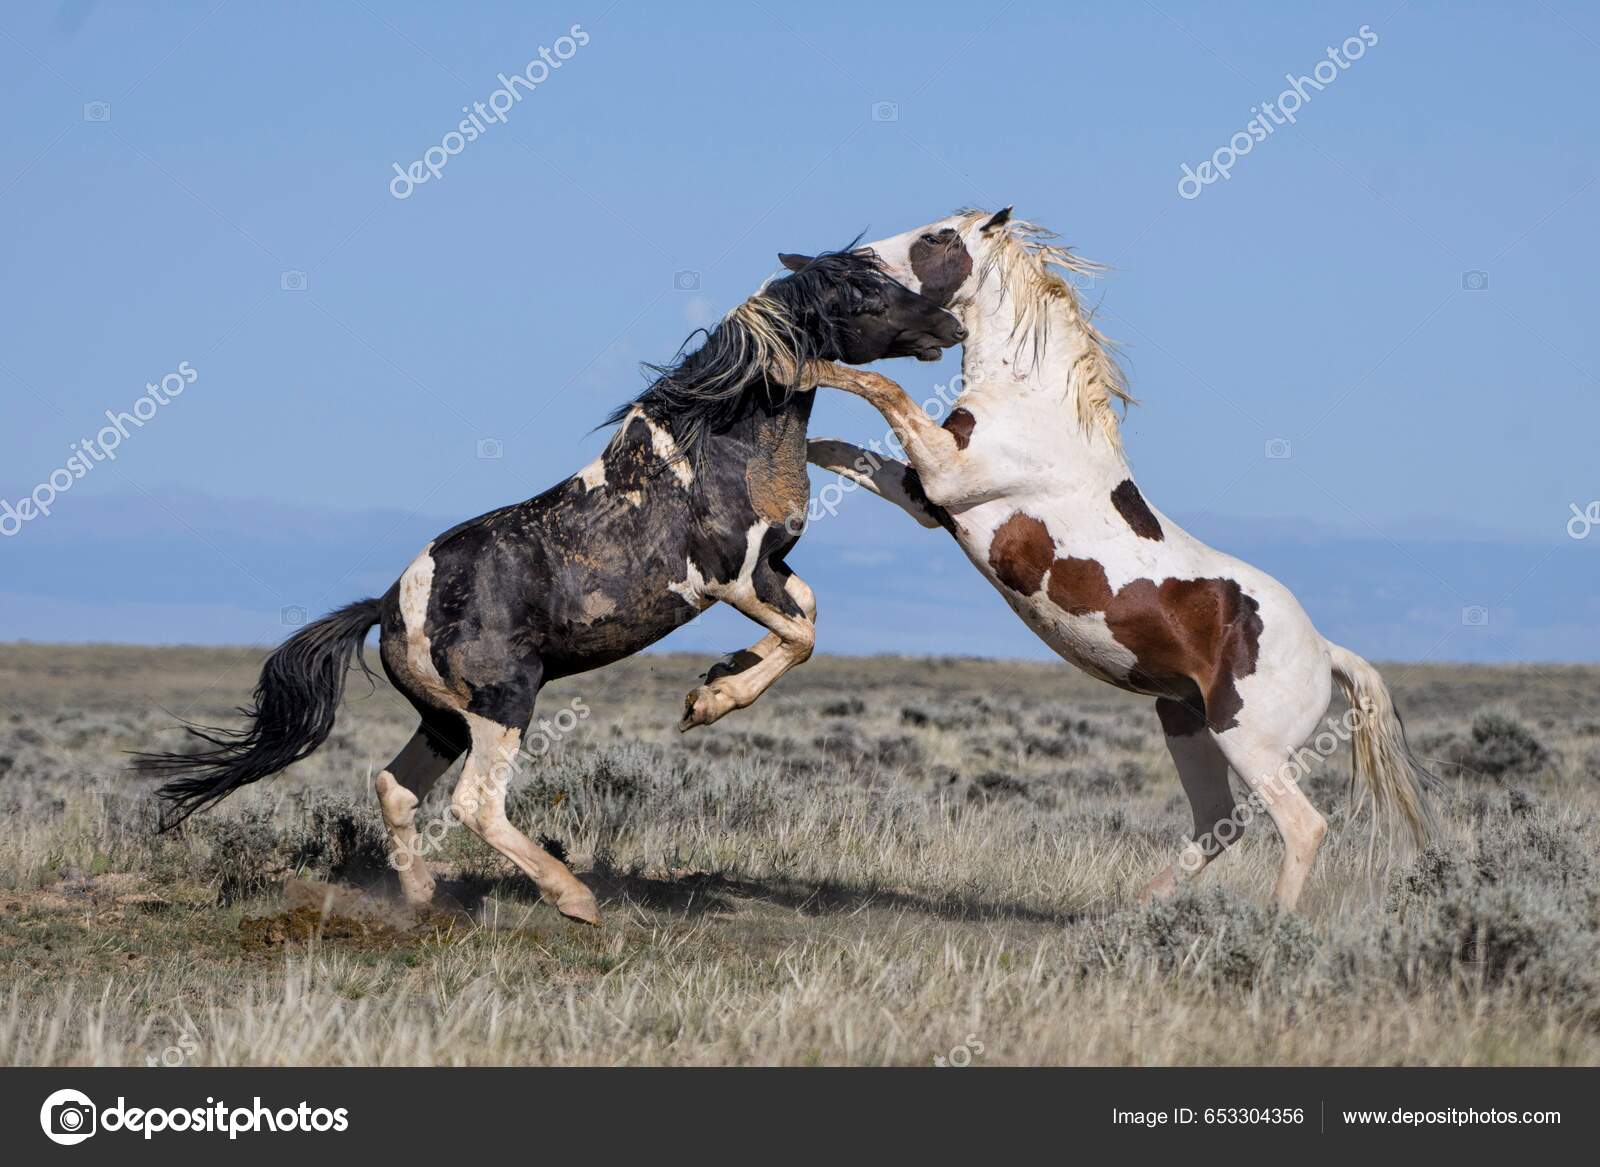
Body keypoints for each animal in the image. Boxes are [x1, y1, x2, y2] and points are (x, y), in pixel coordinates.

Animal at [140, 249, 960, 922]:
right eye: (866, 292)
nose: (950, 324)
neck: (718, 444)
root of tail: (386, 606)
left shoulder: (770, 568)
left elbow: (806, 616)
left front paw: (714, 680)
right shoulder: (728, 578)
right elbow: (802, 636)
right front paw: (709, 701)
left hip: (446, 720)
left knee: (394, 788)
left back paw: (424, 898)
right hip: (506, 702)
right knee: (474, 803)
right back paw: (573, 898)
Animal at [806, 209, 1446, 902]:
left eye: (939, 236)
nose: (857, 259)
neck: (1033, 403)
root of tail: (1325, 651)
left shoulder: (948, 475)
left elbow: (879, 385)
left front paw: (804, 367)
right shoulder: (930, 498)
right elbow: (844, 451)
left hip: (1249, 743)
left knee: (1303, 826)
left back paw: (1273, 921)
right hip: (1185, 724)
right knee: (1217, 824)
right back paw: (1141, 907)